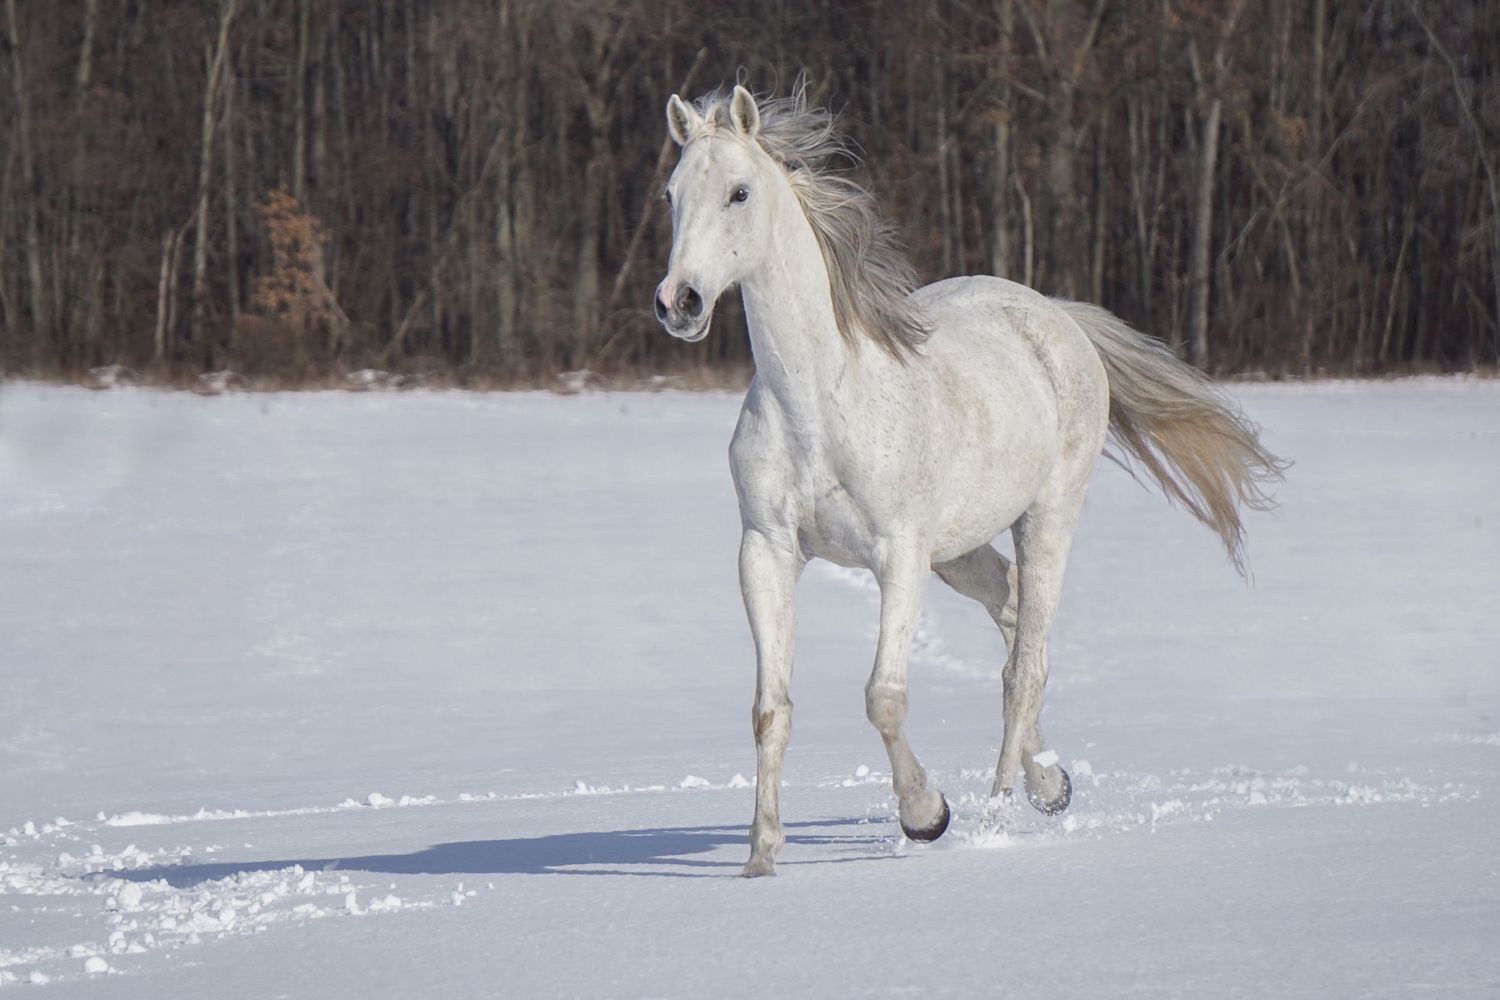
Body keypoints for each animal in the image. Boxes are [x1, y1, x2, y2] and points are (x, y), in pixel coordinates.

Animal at [654, 82, 1284, 877]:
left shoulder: (898, 556)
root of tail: (1056, 317)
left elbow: (884, 697)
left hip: (1045, 521)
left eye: (739, 191)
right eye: (672, 194)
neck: (818, 404)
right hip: (958, 552)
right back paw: (1051, 783)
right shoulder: (766, 551)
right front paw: (760, 858)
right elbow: (772, 708)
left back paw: (998, 813)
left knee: (1023, 669)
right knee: (1015, 622)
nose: (679, 303)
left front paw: (927, 816)